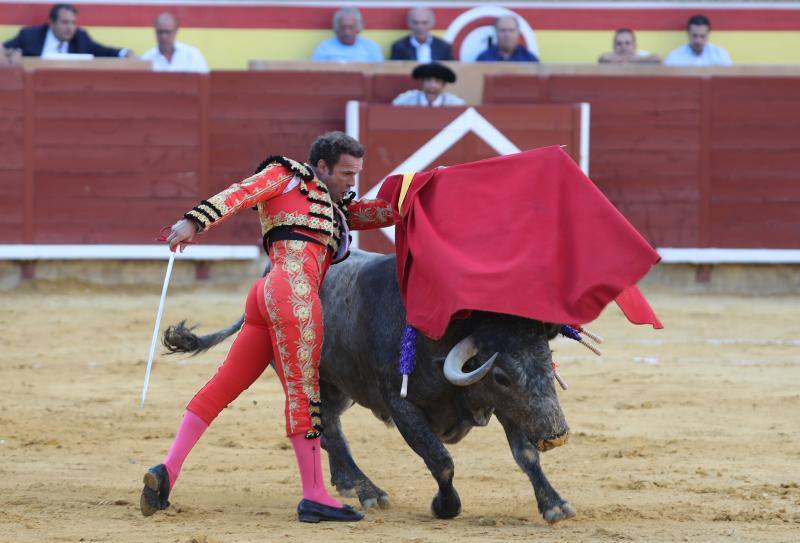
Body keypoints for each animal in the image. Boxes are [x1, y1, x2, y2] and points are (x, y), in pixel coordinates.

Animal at [164, 250, 576, 524]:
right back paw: (368, 492)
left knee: (329, 428)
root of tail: (266, 276)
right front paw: (446, 507)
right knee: (326, 430)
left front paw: (555, 505)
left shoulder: (507, 408)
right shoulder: (401, 404)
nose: (557, 433)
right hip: (302, 374)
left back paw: (346, 484)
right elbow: (440, 460)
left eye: (548, 359)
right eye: (503, 376)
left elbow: (526, 455)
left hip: (338, 388)